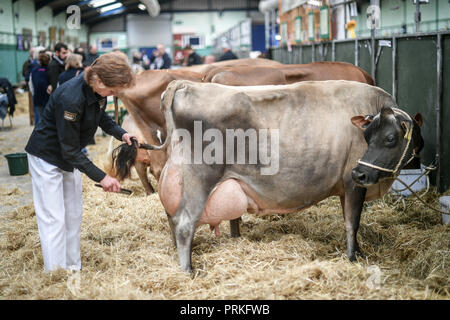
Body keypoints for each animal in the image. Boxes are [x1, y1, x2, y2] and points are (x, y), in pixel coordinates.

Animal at [125, 80, 424, 272]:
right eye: (375, 137)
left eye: (388, 137)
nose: (362, 172)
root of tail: (184, 84)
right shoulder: (352, 182)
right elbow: (353, 222)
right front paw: (353, 258)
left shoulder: (347, 183)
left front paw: (358, 252)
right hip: (200, 180)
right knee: (185, 223)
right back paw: (188, 270)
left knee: (172, 219)